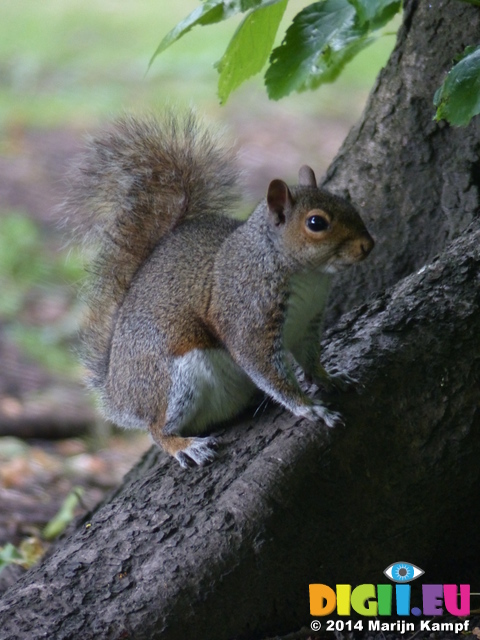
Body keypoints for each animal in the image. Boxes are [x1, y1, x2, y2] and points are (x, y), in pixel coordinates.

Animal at [65, 112, 376, 468]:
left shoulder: (309, 321)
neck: (309, 276)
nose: (368, 245)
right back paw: (182, 445)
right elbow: (266, 367)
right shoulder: (249, 313)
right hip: (172, 382)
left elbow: (310, 359)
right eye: (316, 223)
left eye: (346, 201)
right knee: (156, 428)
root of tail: (118, 395)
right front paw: (309, 407)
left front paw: (329, 378)